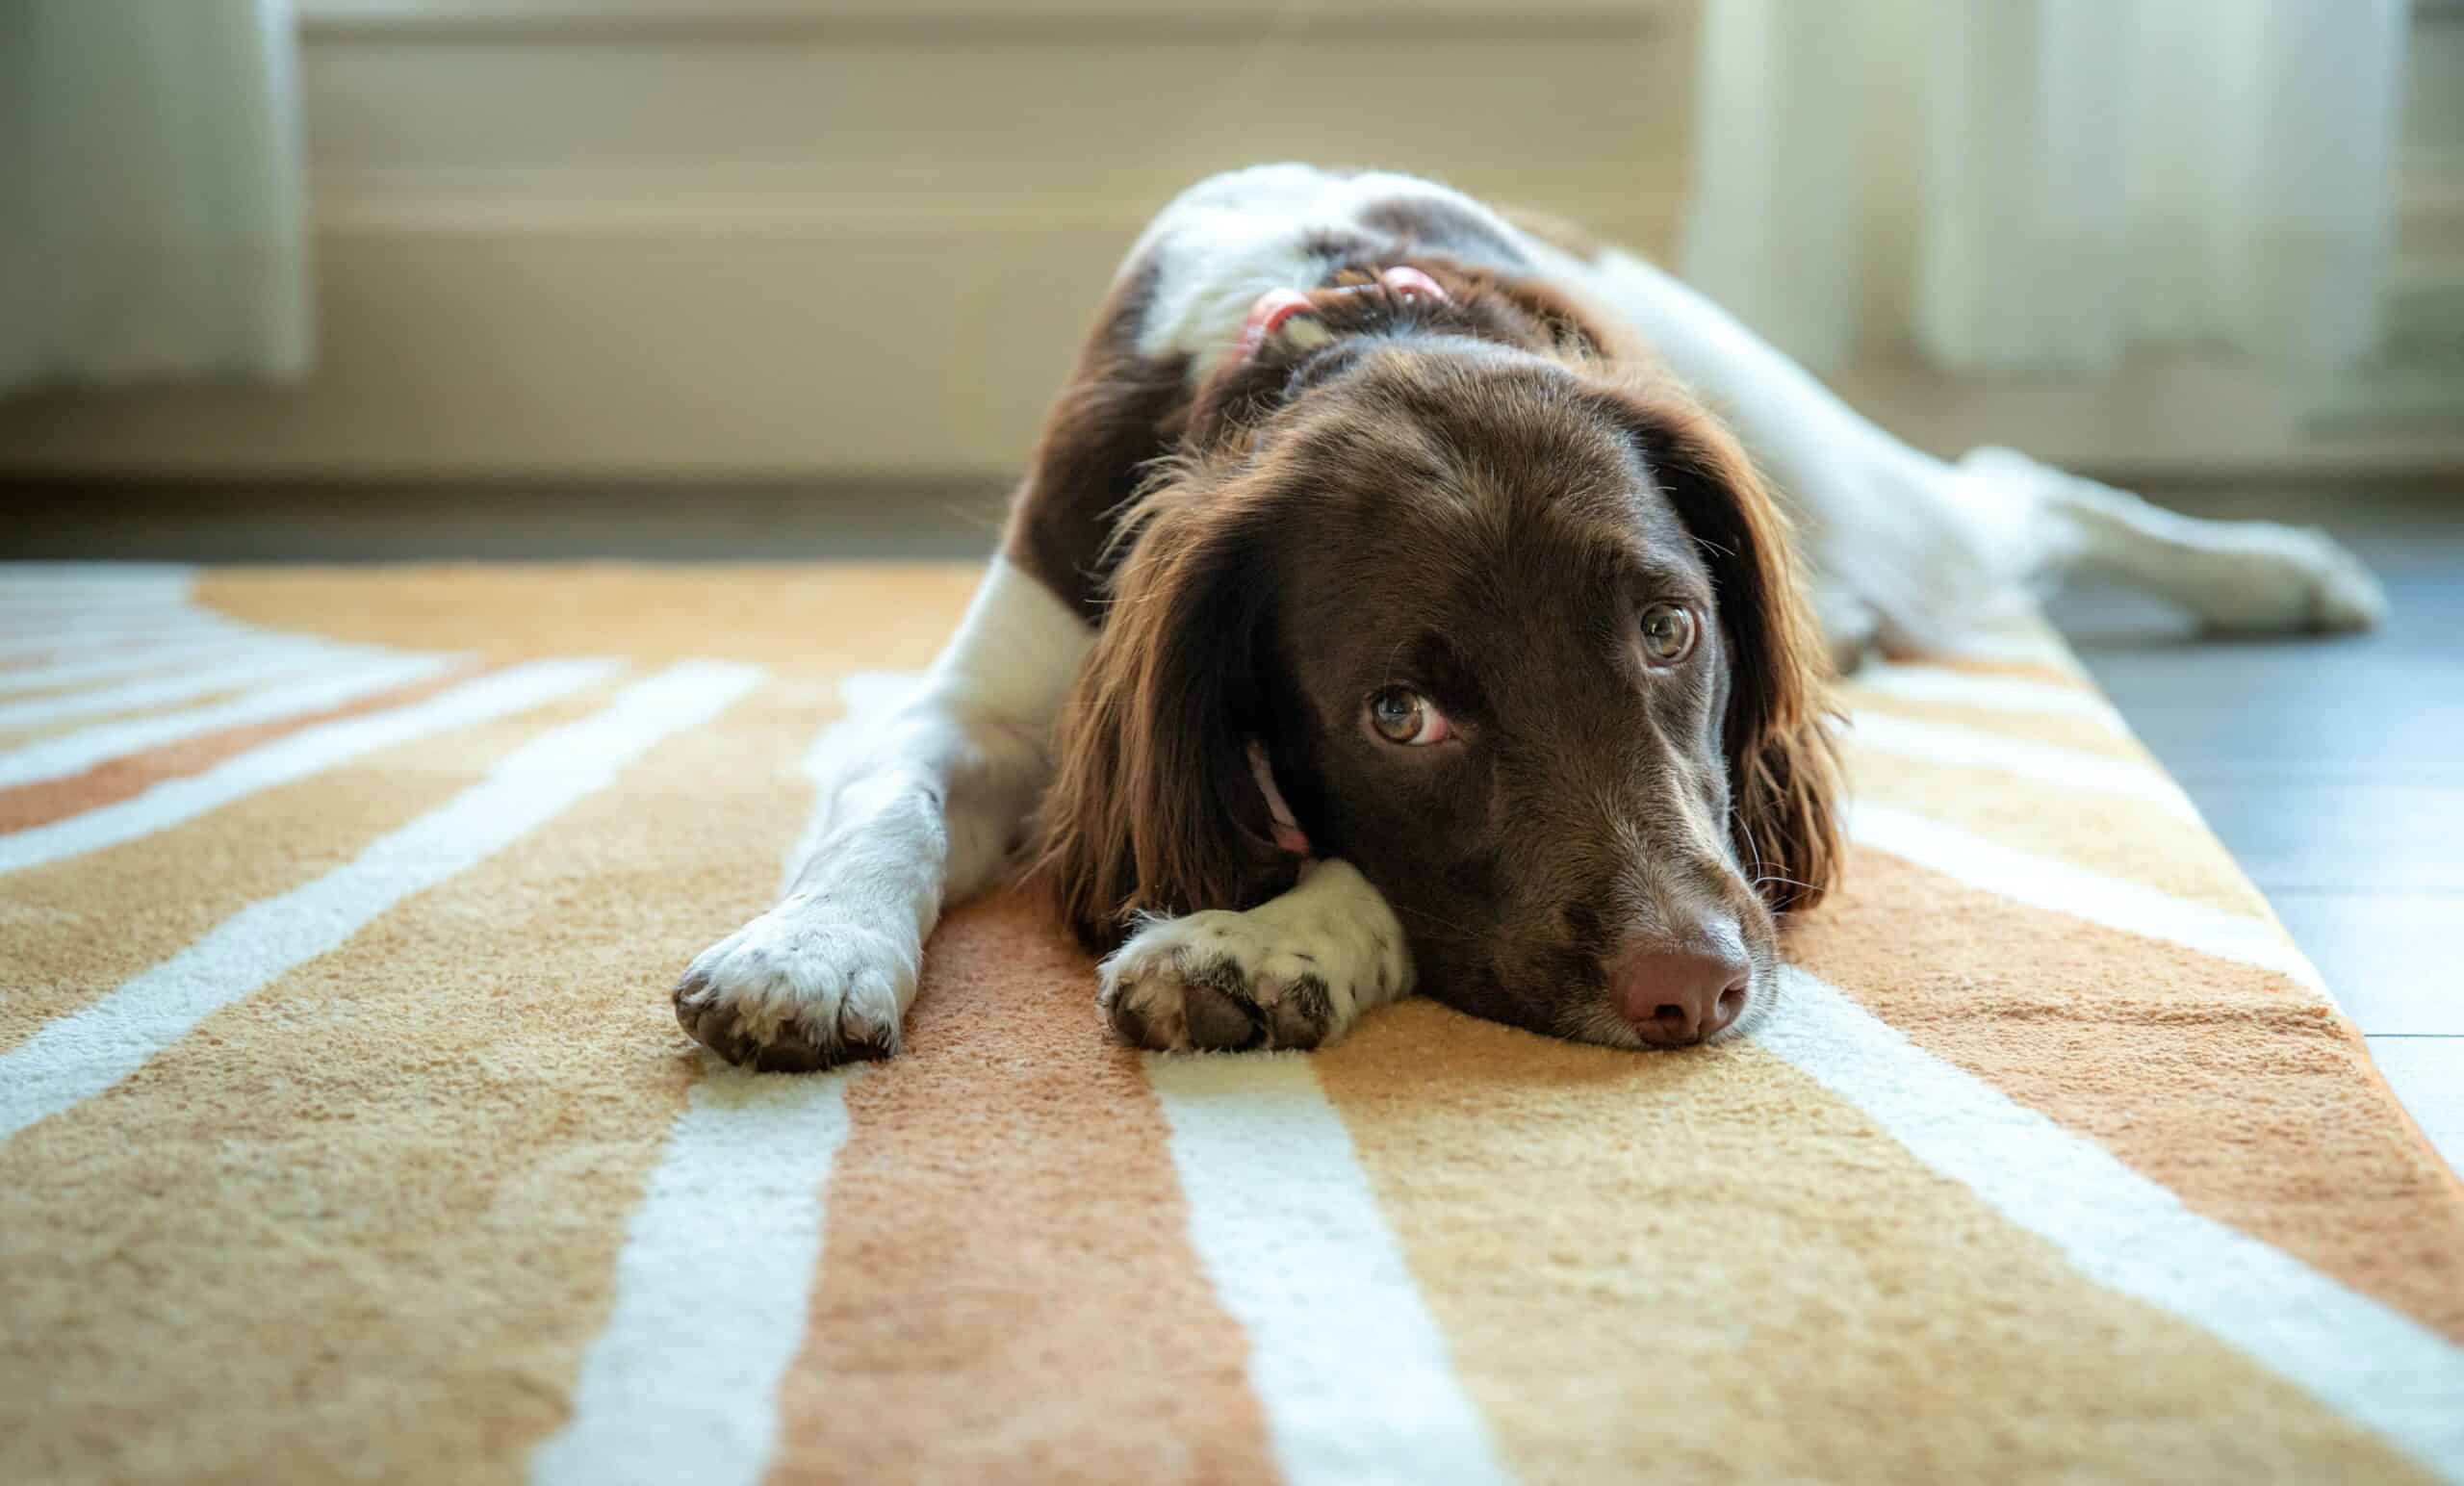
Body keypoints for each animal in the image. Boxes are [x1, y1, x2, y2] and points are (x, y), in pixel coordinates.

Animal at [665, 162, 2374, 1069]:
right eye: (1400, 715)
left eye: (1671, 630)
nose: (1696, 987)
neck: (1352, 314)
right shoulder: (1004, 688)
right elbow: (891, 796)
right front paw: (809, 952)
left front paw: (1260, 946)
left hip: (1852, 494)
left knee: (2021, 492)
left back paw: (2287, 571)